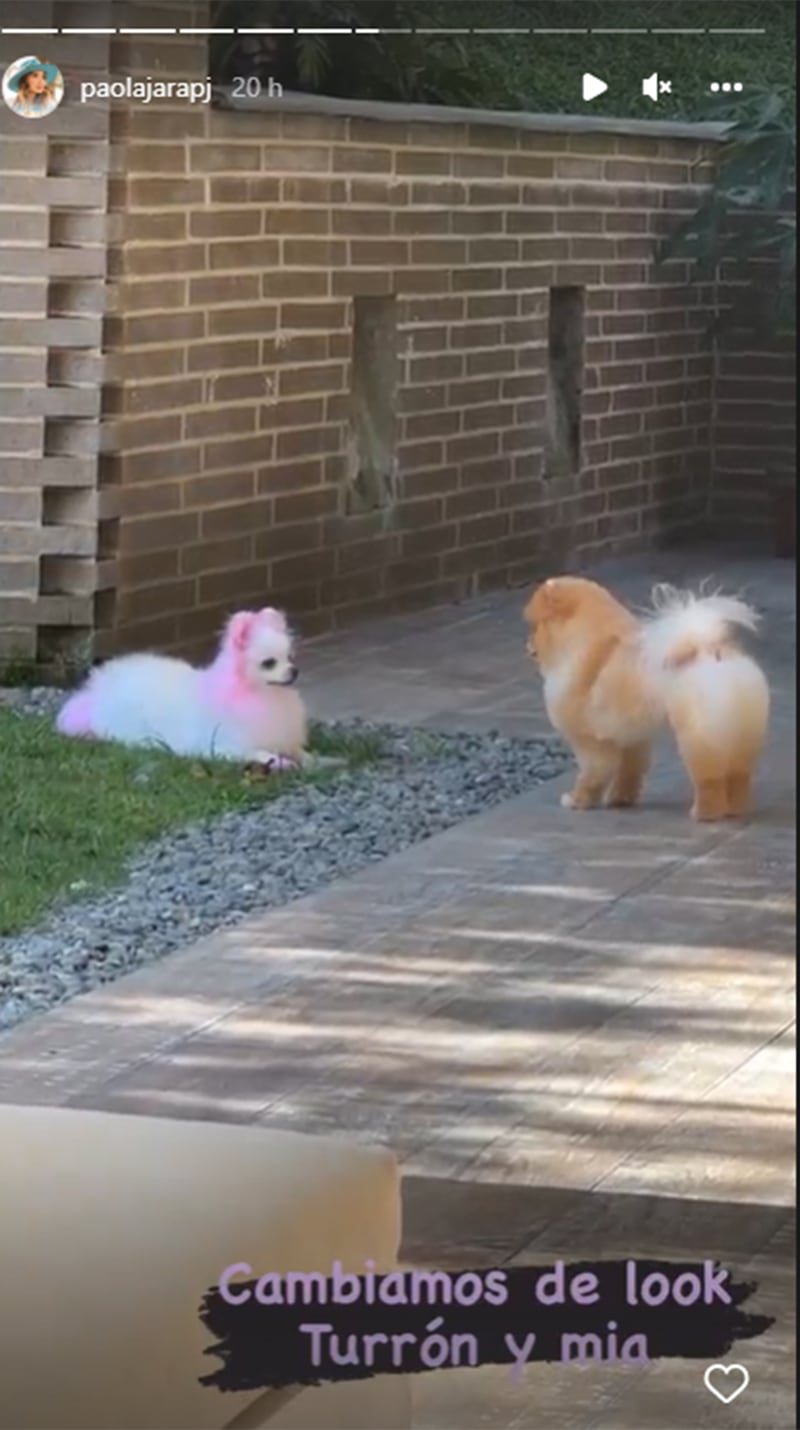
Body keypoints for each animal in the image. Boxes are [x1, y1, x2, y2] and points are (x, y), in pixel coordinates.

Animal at [56, 606, 306, 766]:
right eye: (269, 663)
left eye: (291, 658)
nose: (295, 670)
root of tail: (99, 690)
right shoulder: (225, 747)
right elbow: (261, 754)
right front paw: (281, 762)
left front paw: (306, 758)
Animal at [526, 574, 772, 823]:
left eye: (536, 627)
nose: (529, 645)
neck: (579, 647)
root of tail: (710, 651)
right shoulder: (631, 739)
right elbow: (630, 772)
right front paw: (621, 798)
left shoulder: (590, 740)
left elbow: (593, 775)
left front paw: (578, 800)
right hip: (743, 729)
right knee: (740, 775)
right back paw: (735, 809)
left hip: (697, 736)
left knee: (709, 780)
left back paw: (703, 813)